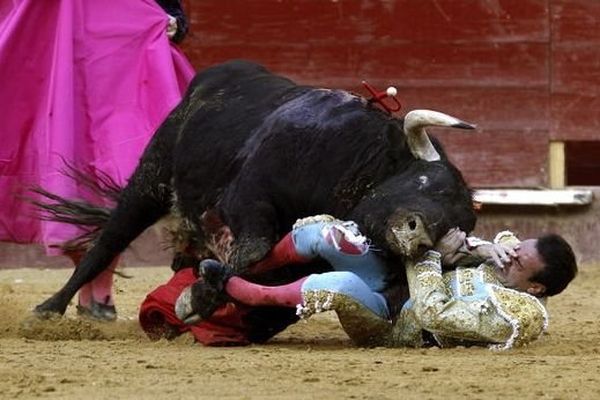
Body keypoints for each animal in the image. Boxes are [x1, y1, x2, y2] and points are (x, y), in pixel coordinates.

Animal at [34, 59, 478, 318]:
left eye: (451, 226)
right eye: (423, 180)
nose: (417, 234)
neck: (356, 159)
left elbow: (258, 269)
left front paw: (200, 295)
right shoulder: (245, 199)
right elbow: (255, 248)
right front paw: (195, 298)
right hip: (150, 180)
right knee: (109, 241)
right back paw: (50, 308)